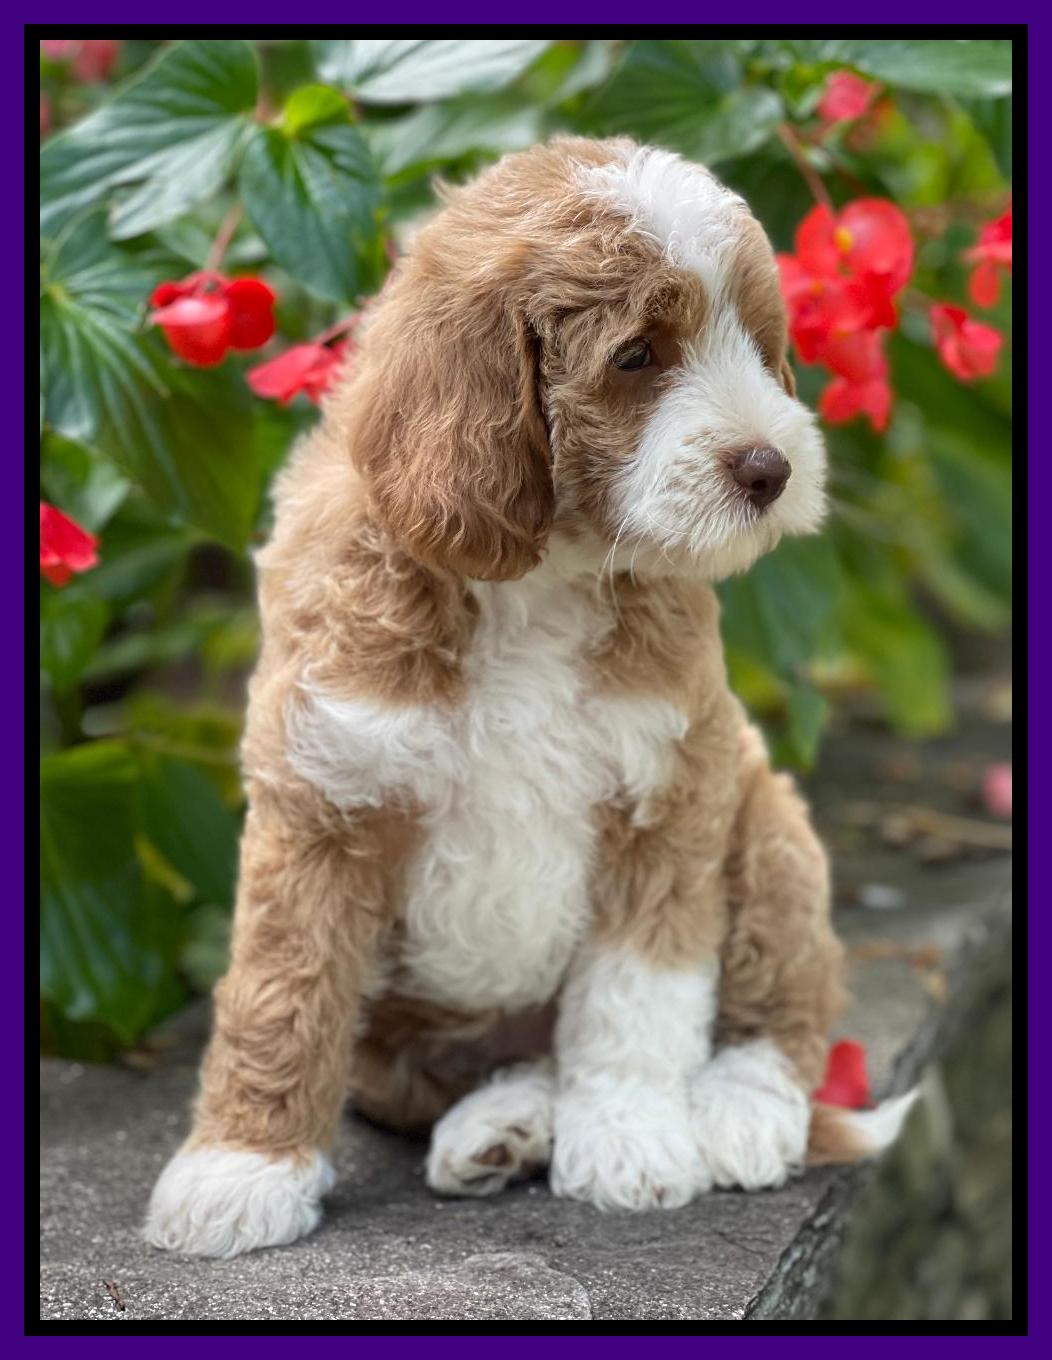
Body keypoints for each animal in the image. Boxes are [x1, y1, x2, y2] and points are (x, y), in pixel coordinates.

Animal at [145, 136, 916, 1258]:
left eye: (760, 344)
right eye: (637, 356)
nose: (769, 467)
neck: (539, 578)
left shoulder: (670, 790)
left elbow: (637, 997)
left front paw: (633, 1140)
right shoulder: (324, 796)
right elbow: (281, 992)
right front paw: (239, 1170)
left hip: (766, 822)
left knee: (785, 1007)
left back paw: (730, 1112)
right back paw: (503, 1125)